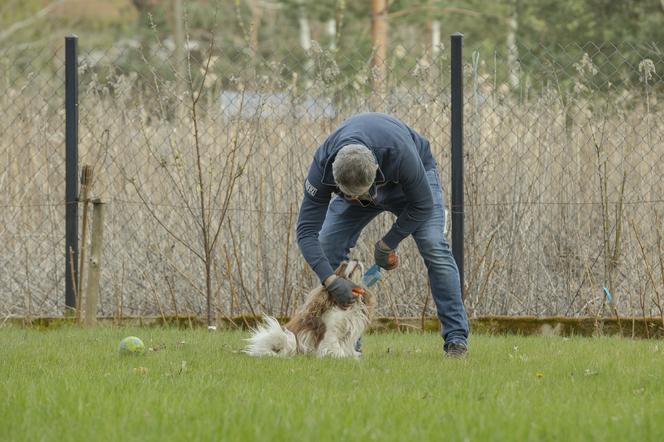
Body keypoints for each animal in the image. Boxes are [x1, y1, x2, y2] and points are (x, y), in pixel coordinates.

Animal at [243, 260, 374, 358]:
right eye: (344, 265)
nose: (356, 259)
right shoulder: (330, 332)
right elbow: (335, 346)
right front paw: (340, 357)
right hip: (286, 337)